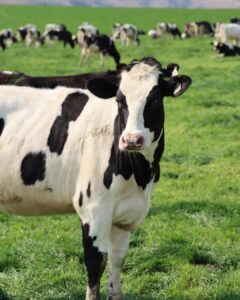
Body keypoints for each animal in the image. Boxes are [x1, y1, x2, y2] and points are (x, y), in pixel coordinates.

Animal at [0, 56, 191, 300]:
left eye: (155, 98)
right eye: (119, 100)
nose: (132, 140)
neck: (140, 175)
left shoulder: (126, 216)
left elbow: (117, 261)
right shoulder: (93, 210)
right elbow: (95, 265)